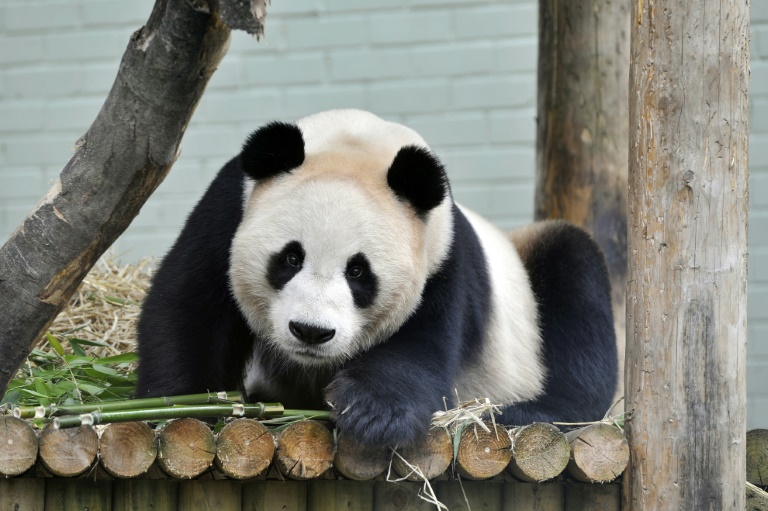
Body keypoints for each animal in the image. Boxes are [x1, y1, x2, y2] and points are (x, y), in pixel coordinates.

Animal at [136, 109, 616, 448]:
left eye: (358, 271)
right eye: (289, 258)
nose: (310, 332)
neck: (358, 143)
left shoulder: (440, 254)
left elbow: (421, 343)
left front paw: (373, 415)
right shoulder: (228, 210)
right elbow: (189, 307)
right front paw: (181, 405)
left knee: (576, 279)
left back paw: (526, 413)